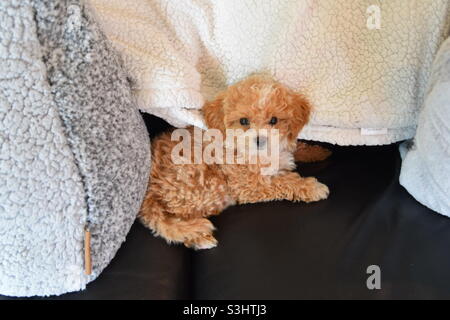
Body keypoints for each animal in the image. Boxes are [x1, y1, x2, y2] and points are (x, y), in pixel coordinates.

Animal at [140, 75, 330, 250]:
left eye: (274, 120)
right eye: (244, 121)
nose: (260, 140)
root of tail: (150, 187)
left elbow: (297, 149)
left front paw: (318, 151)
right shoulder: (249, 184)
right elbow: (283, 181)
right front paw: (312, 187)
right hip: (206, 185)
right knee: (173, 217)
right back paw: (197, 237)